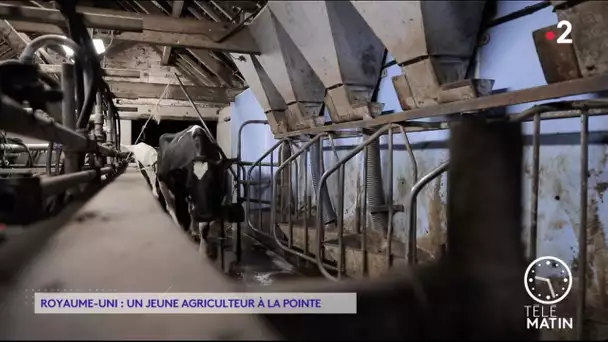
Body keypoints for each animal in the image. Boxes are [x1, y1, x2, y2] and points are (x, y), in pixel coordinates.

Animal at [157, 125, 242, 254]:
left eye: (214, 182)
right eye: (188, 184)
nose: (204, 215)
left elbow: (204, 225)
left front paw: (202, 245)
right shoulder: (181, 192)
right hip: (162, 181)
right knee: (171, 206)